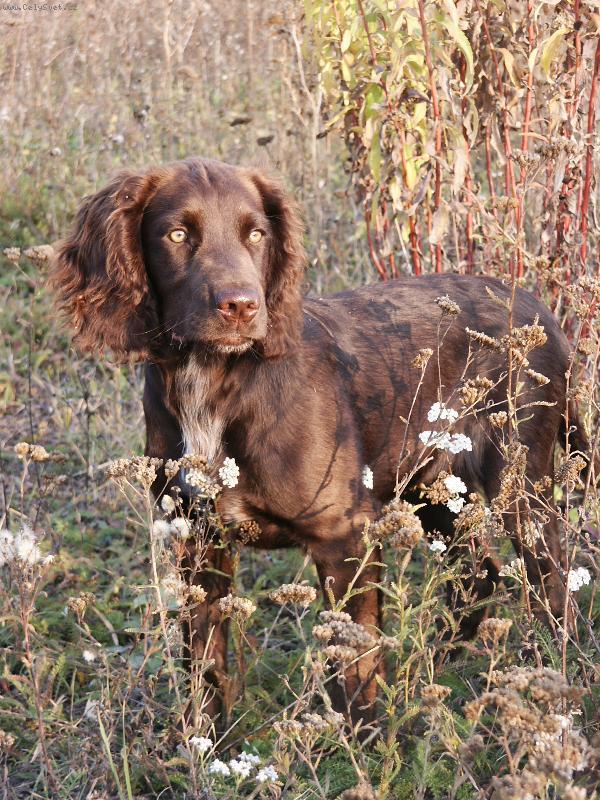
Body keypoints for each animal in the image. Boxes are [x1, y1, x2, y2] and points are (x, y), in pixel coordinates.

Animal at [52, 156, 584, 724]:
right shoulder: (198, 538)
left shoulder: (344, 534)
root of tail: (538, 307)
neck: (214, 380)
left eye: (257, 234)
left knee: (551, 583)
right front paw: (207, 741)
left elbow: (353, 664)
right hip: (435, 486)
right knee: (477, 576)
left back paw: (554, 681)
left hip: (518, 483)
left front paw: (366, 737)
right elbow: (204, 664)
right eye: (177, 235)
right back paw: (427, 678)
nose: (241, 306)